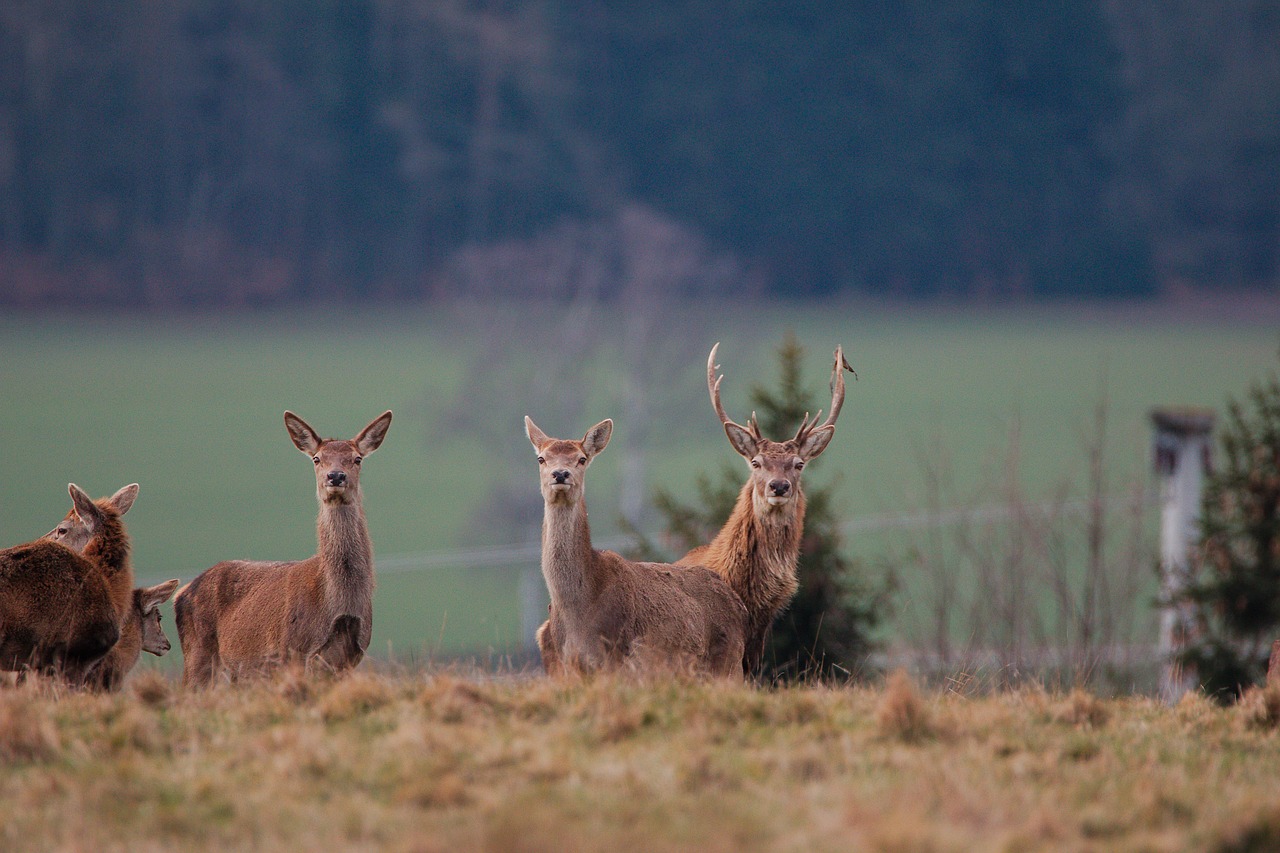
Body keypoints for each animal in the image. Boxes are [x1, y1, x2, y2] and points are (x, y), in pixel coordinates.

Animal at [172, 409, 389, 686]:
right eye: (317, 459)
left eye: (357, 458)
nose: (336, 476)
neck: (338, 603)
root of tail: (181, 592)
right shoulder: (292, 649)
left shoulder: (351, 655)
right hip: (199, 652)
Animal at [524, 414, 747, 676]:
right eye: (541, 458)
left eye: (581, 458)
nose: (560, 474)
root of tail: (739, 604)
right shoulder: (566, 664)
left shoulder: (616, 656)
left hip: (730, 661)